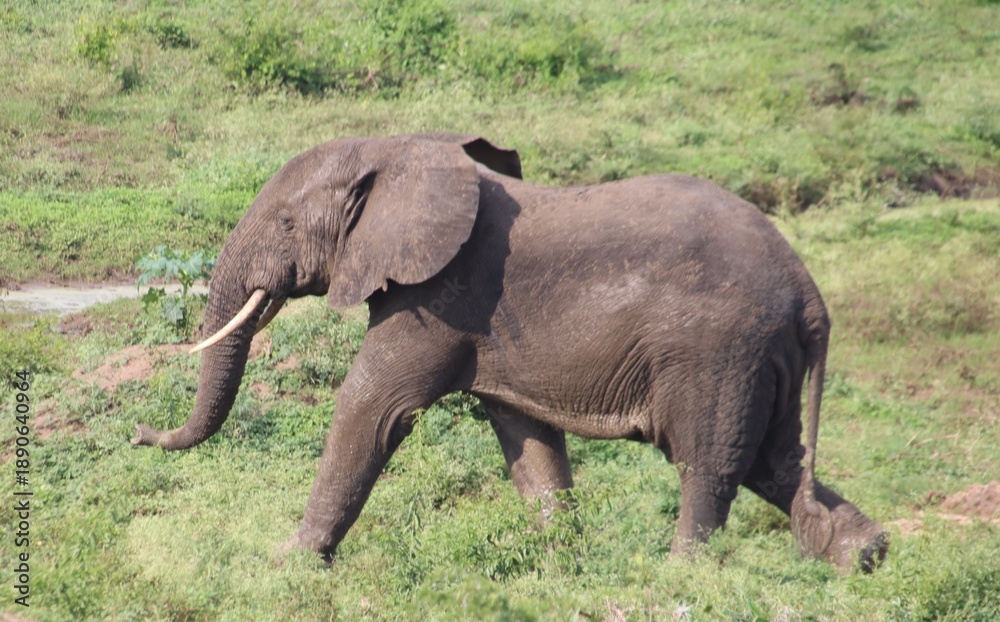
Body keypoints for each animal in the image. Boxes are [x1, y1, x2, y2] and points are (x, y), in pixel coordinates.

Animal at [131, 133, 888, 572]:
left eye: (287, 224)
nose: (139, 435)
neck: (406, 154)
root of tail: (809, 293)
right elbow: (524, 435)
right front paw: (558, 563)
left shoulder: (442, 294)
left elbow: (373, 407)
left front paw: (288, 563)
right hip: (761, 356)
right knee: (777, 462)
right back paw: (865, 558)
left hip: (718, 350)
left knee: (709, 461)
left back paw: (680, 577)